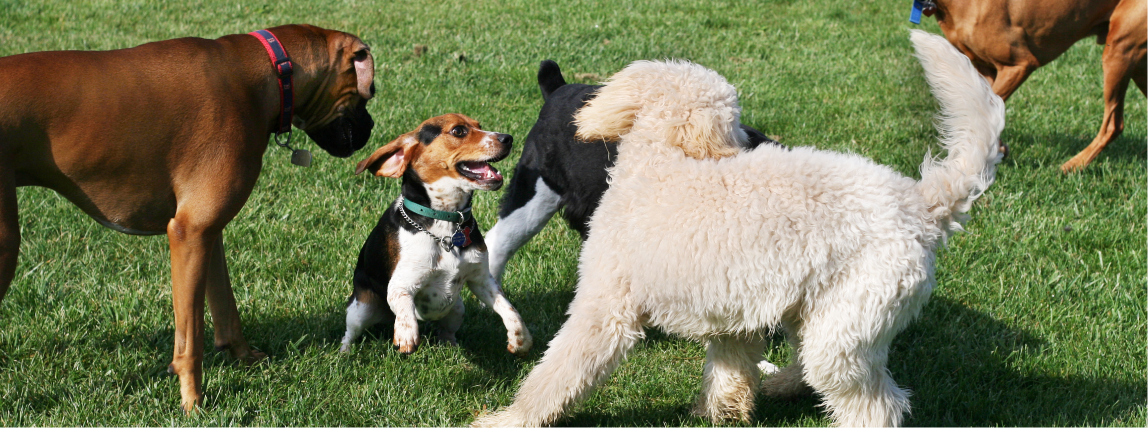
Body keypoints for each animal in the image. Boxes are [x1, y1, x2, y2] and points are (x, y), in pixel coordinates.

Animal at [0, 23, 376, 410]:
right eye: (369, 93)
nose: (372, 127)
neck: (270, 70)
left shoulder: (208, 234)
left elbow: (225, 306)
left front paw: (242, 356)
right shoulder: (189, 234)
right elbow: (190, 336)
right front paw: (193, 400)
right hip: (5, 242)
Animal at [932, 0, 1148, 169]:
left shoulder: (1019, 65)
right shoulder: (985, 69)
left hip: (1119, 50)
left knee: (1113, 125)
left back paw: (1073, 166)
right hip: (1137, 66)